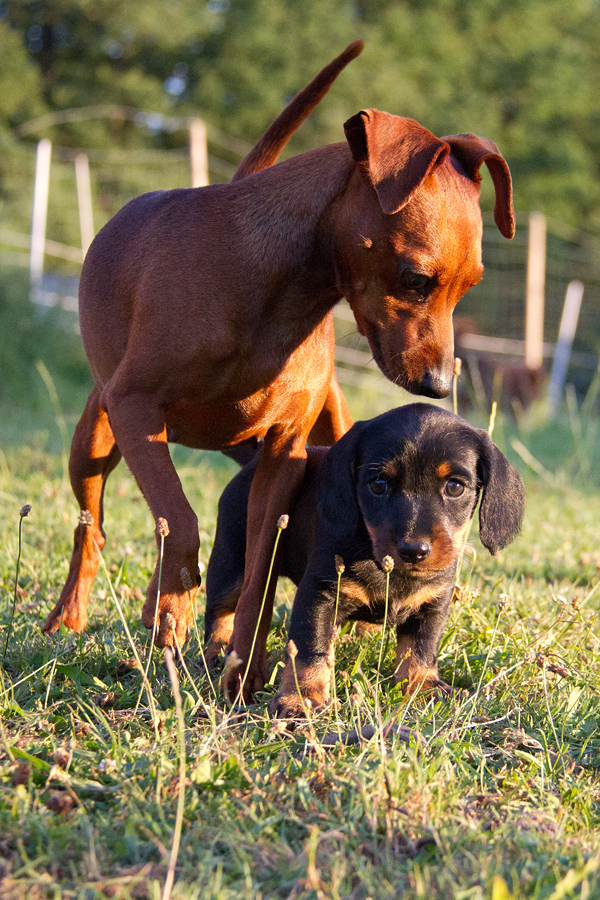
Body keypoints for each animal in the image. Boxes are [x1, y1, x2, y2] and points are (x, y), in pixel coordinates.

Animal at [206, 404, 524, 712]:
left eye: (455, 486)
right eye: (378, 484)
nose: (414, 550)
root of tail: (255, 461)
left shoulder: (432, 604)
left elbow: (420, 649)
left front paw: (422, 686)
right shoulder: (319, 595)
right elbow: (310, 651)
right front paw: (301, 699)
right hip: (232, 568)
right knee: (220, 613)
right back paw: (218, 652)